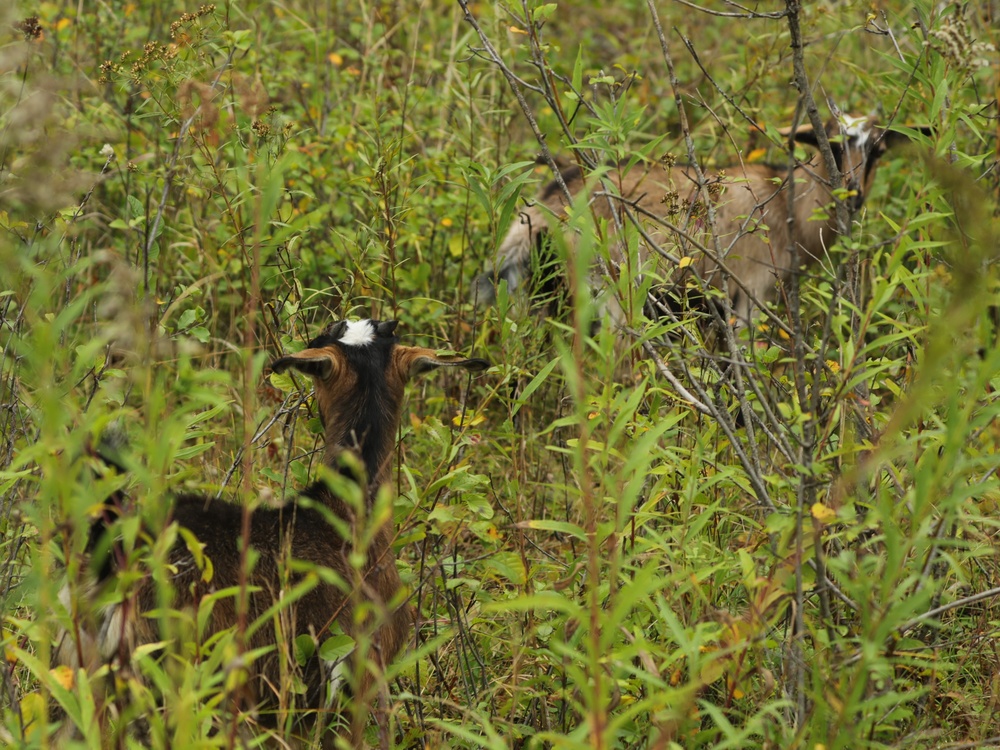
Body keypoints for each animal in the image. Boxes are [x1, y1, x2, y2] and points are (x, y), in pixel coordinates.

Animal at [476, 117, 928, 326]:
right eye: (829, 145)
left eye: (878, 152)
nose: (853, 193)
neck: (788, 205)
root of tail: (546, 202)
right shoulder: (752, 290)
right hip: (606, 289)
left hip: (540, 289)